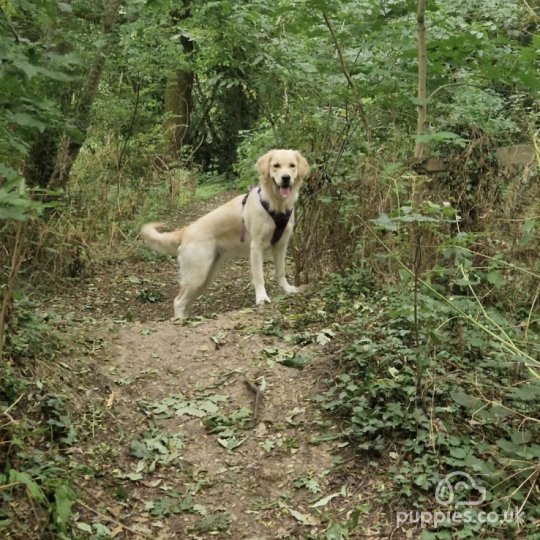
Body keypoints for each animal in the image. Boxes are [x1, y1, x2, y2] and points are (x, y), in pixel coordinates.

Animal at [141, 148, 310, 318]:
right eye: (276, 166)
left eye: (292, 166)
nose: (286, 178)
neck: (275, 204)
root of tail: (186, 230)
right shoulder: (256, 246)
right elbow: (259, 275)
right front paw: (262, 297)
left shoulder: (281, 244)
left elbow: (281, 271)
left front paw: (287, 288)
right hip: (197, 274)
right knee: (178, 301)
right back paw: (180, 320)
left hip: (205, 278)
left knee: (185, 302)